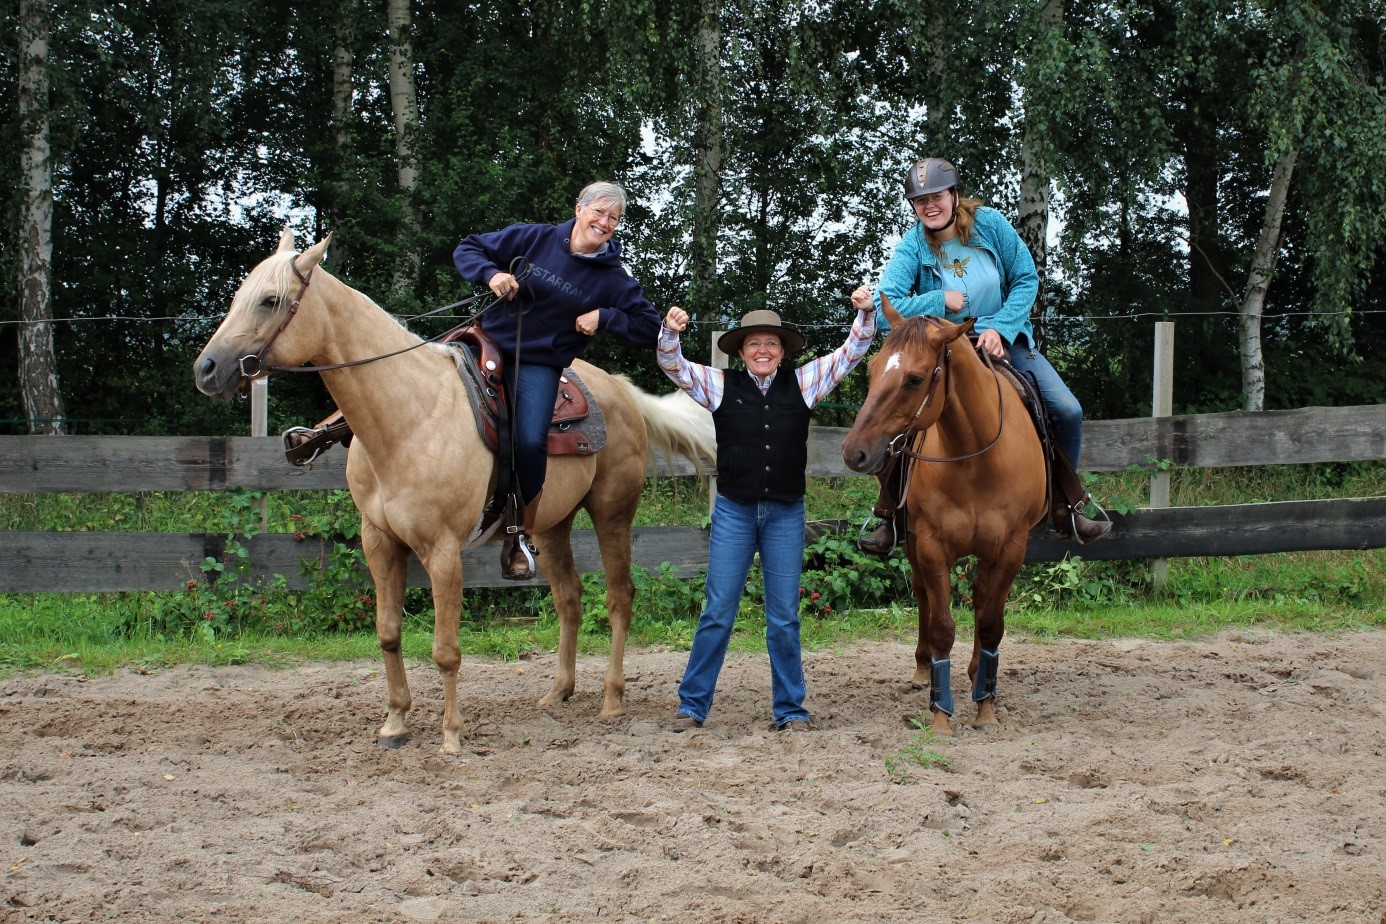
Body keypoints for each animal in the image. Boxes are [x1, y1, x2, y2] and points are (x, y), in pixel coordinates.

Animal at [195, 229, 715, 753]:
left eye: (271, 299)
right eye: (238, 296)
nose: (207, 369)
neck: (409, 415)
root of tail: (621, 390)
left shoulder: (442, 550)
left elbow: (446, 650)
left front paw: (451, 735)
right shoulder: (378, 540)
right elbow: (388, 632)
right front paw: (395, 723)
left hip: (612, 515)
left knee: (618, 597)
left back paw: (612, 699)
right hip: (551, 525)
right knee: (569, 598)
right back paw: (558, 692)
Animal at [837, 296, 1042, 736]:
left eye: (914, 380)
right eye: (872, 368)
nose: (853, 452)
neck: (976, 458)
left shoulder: (1011, 550)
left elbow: (991, 623)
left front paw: (986, 707)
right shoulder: (931, 546)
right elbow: (942, 626)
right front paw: (940, 712)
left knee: (981, 600)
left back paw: (976, 675)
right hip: (914, 543)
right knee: (924, 597)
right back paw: (923, 670)